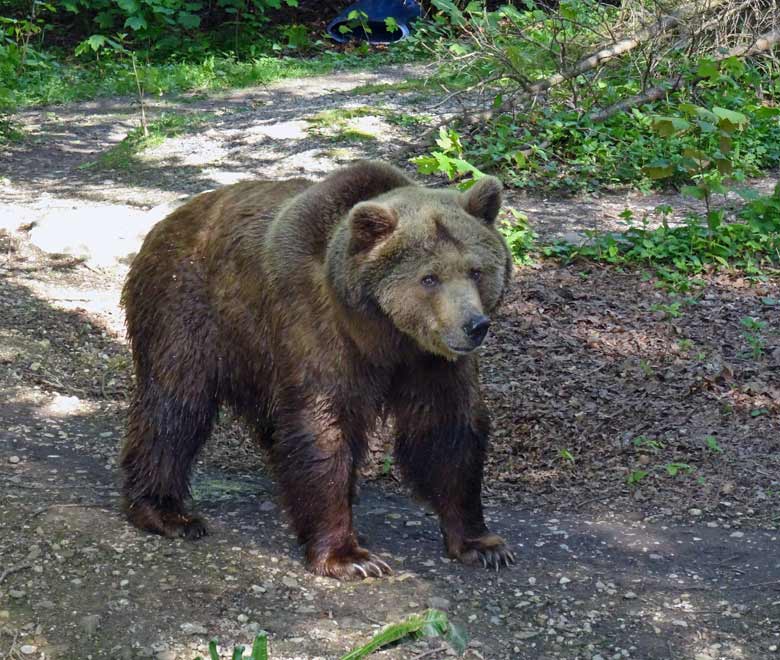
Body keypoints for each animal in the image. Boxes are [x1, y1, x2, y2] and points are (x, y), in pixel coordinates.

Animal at [120, 161, 512, 576]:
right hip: (188, 307)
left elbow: (447, 429)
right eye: (429, 278)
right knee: (175, 405)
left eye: (475, 271)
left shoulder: (430, 362)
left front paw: (482, 544)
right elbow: (322, 425)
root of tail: (167, 220)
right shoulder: (316, 322)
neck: (383, 332)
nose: (474, 325)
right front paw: (350, 557)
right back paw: (166, 512)